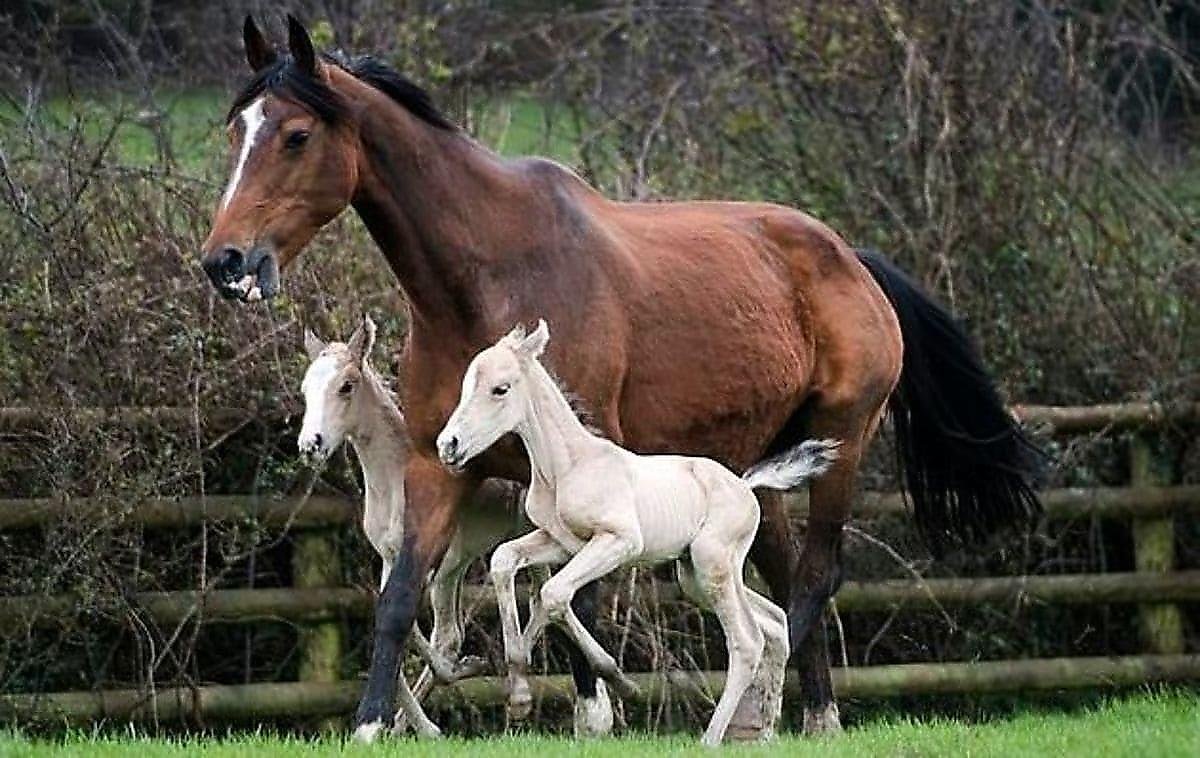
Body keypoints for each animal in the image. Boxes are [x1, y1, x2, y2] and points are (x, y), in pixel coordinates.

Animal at [297, 315, 521, 739]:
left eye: (346, 385)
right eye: (304, 389)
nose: (310, 445)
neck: (394, 475)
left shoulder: (435, 557)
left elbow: (421, 629)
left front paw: (462, 673)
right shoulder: (392, 556)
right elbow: (396, 620)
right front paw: (416, 726)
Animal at [437, 319, 842, 744]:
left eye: (500, 388)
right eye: (466, 384)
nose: (448, 445)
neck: (568, 466)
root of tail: (746, 485)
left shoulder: (620, 541)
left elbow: (553, 593)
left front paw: (617, 680)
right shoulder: (559, 542)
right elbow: (508, 564)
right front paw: (518, 690)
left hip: (712, 564)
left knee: (748, 642)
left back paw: (712, 738)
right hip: (696, 575)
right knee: (775, 622)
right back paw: (764, 731)